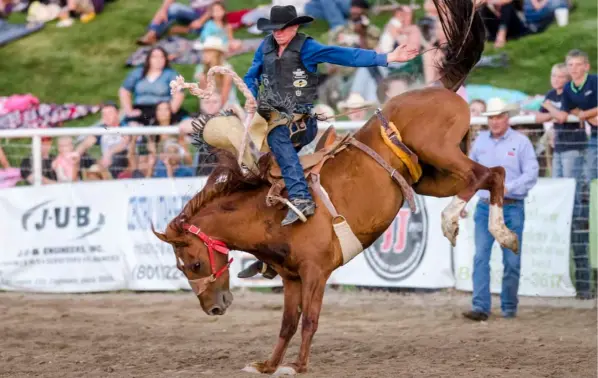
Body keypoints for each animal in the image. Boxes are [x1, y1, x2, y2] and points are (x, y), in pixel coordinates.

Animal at [151, 0, 520, 376]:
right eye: (181, 268)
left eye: (194, 264)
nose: (214, 308)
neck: (265, 213)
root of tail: (438, 86)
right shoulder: (291, 278)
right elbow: (287, 322)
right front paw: (268, 364)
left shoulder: (316, 272)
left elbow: (309, 319)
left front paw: (297, 365)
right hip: (433, 177)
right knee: (494, 175)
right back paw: (504, 234)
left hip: (439, 151)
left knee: (483, 174)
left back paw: (454, 221)